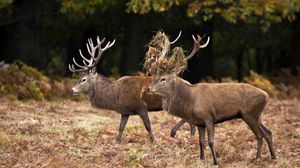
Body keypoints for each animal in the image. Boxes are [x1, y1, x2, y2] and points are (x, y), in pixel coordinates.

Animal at [147, 33, 274, 165]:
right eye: (155, 76)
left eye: (163, 79)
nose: (149, 88)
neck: (191, 100)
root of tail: (266, 95)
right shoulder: (199, 123)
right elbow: (201, 142)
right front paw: (201, 159)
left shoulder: (209, 117)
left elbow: (211, 141)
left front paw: (216, 162)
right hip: (257, 115)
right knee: (268, 132)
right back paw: (273, 157)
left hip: (249, 114)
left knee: (259, 135)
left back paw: (257, 158)